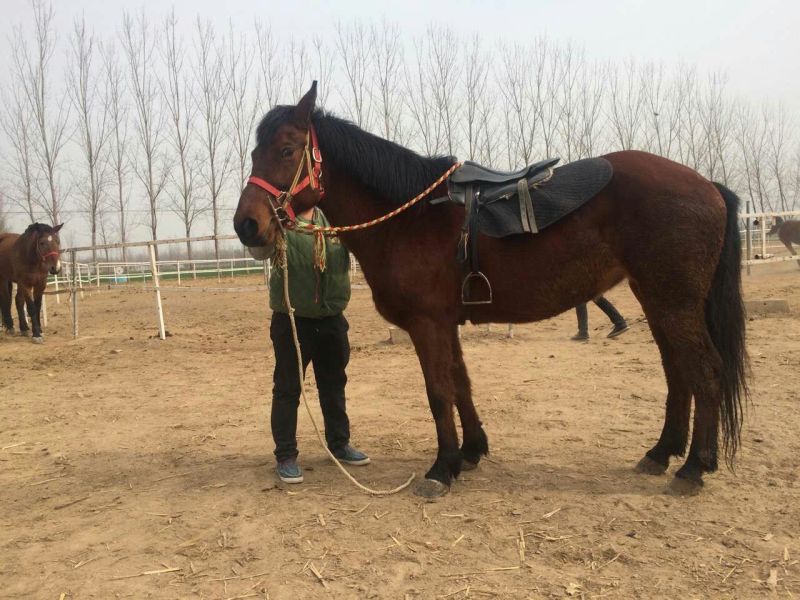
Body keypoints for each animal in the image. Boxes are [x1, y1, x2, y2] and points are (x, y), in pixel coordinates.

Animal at [234, 83, 748, 498]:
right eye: (256, 153)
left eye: (285, 150)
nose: (246, 225)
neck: (408, 216)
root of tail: (707, 185)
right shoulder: (446, 323)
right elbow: (461, 384)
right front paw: (471, 452)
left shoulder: (427, 325)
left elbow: (439, 391)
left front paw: (441, 469)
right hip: (658, 300)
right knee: (678, 372)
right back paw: (661, 454)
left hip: (674, 302)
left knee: (705, 372)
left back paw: (693, 468)